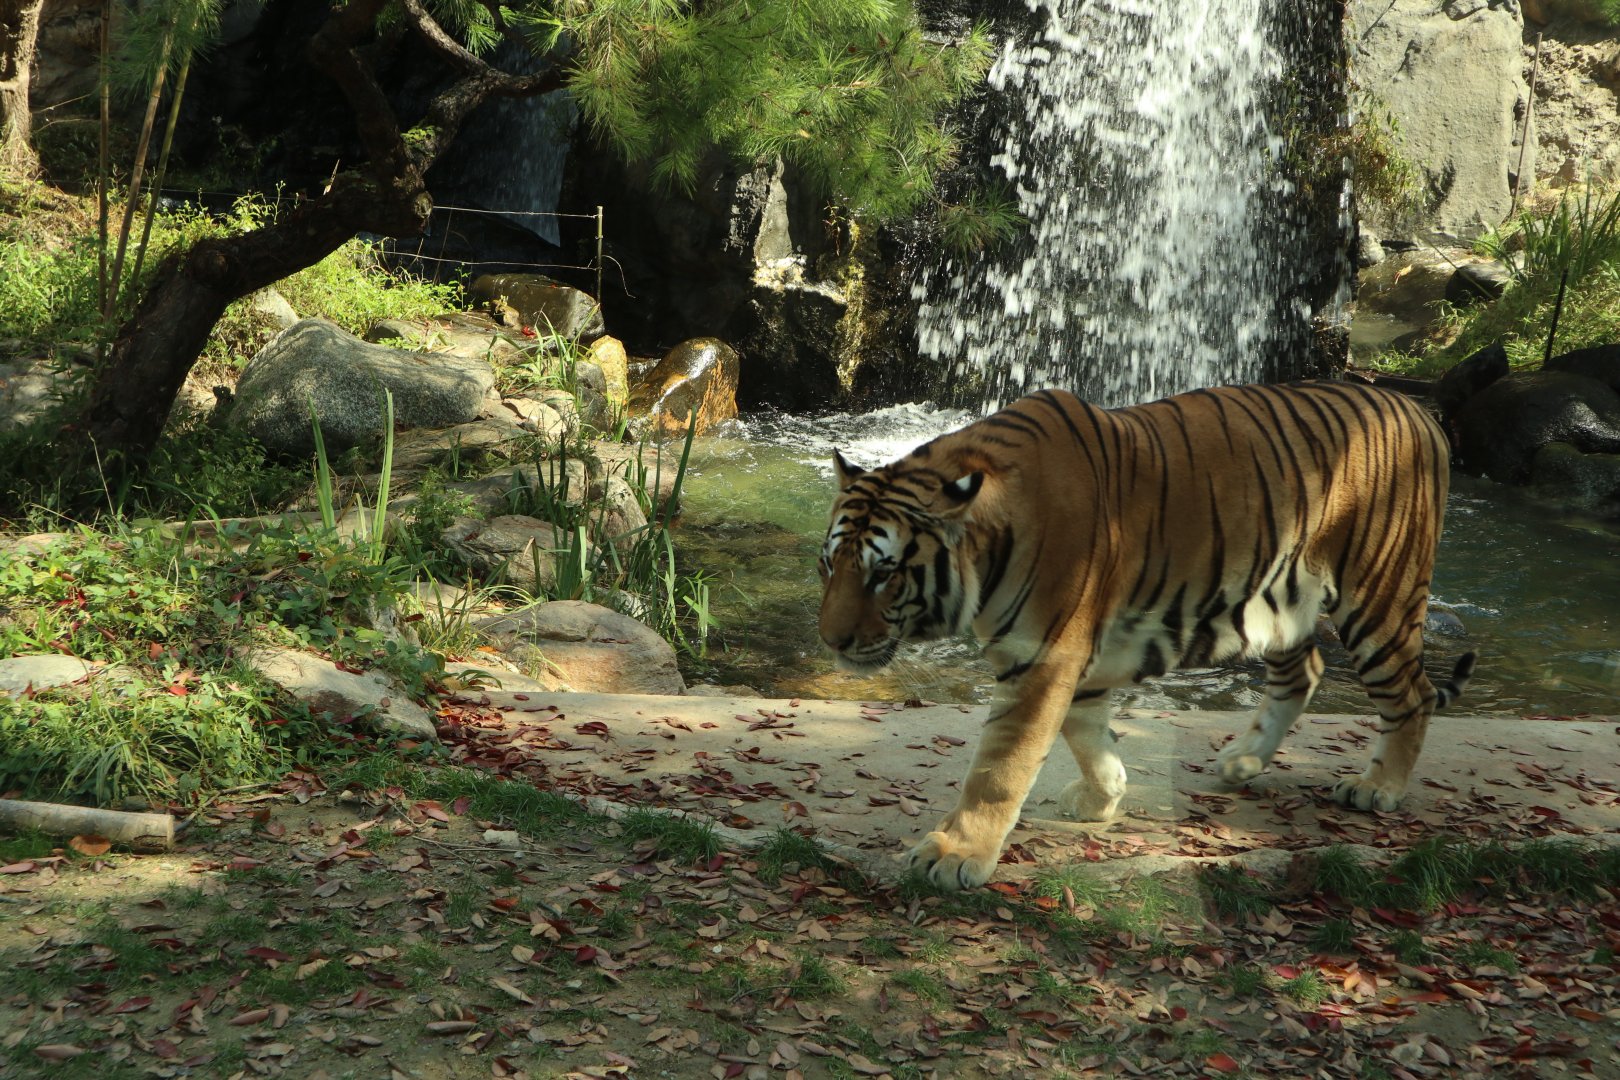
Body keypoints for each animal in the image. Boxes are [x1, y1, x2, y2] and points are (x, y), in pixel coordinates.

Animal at [818, 382, 1477, 890]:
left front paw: (956, 855)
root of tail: (1419, 412)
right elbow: (1087, 735)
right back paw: (1242, 759)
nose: (831, 641)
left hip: (1379, 595)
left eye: (883, 574)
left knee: (1412, 695)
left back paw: (1377, 787)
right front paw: (1104, 797)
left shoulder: (1045, 657)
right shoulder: (1066, 659)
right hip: (1280, 598)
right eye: (831, 565)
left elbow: (1000, 769)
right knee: (1305, 671)